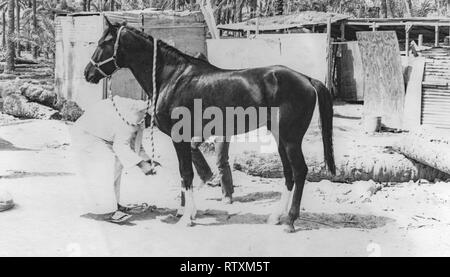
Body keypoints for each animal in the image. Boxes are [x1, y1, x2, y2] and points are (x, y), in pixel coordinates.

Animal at [85, 18, 334, 232]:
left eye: (103, 43)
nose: (87, 73)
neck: (171, 77)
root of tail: (306, 79)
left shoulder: (180, 138)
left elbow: (186, 173)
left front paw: (186, 218)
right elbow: (185, 174)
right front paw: (188, 213)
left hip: (291, 139)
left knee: (300, 171)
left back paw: (290, 221)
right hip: (280, 137)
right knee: (289, 173)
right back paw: (276, 217)